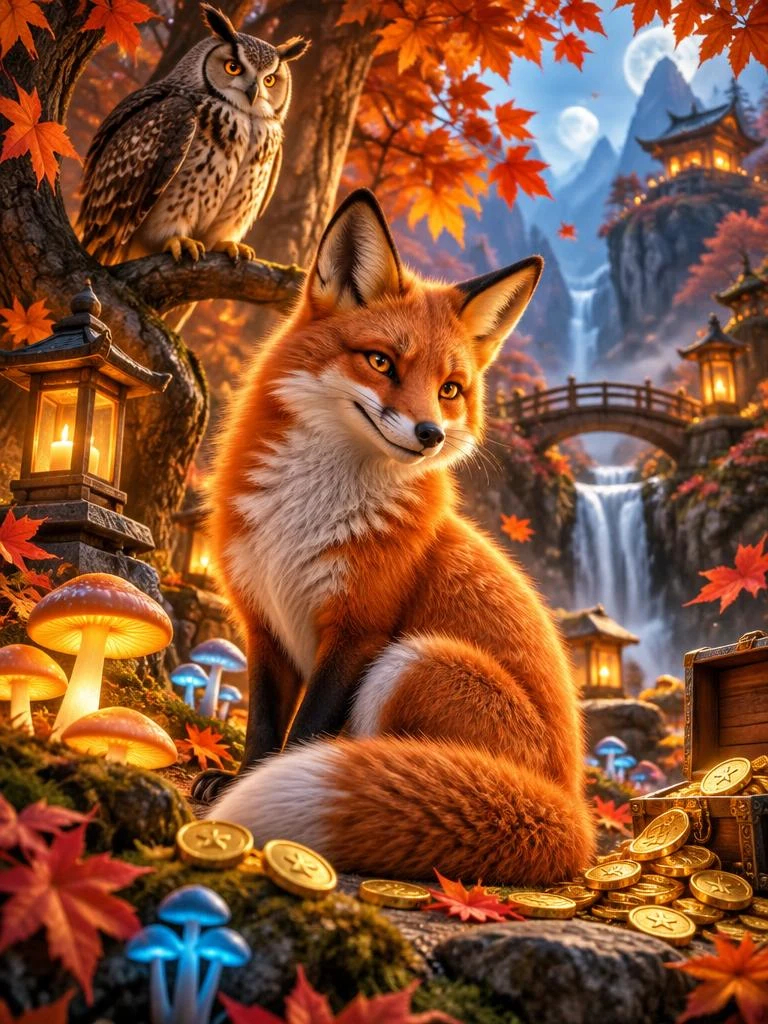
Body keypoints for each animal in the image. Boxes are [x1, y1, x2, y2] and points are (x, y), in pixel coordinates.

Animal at [195, 188, 596, 884]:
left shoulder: (360, 628)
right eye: (381, 361)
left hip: (415, 660)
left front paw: (256, 787)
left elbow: (303, 733)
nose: (430, 433)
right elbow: (264, 727)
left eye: (450, 389)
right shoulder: (262, 621)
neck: (308, 514)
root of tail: (571, 814)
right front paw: (240, 778)